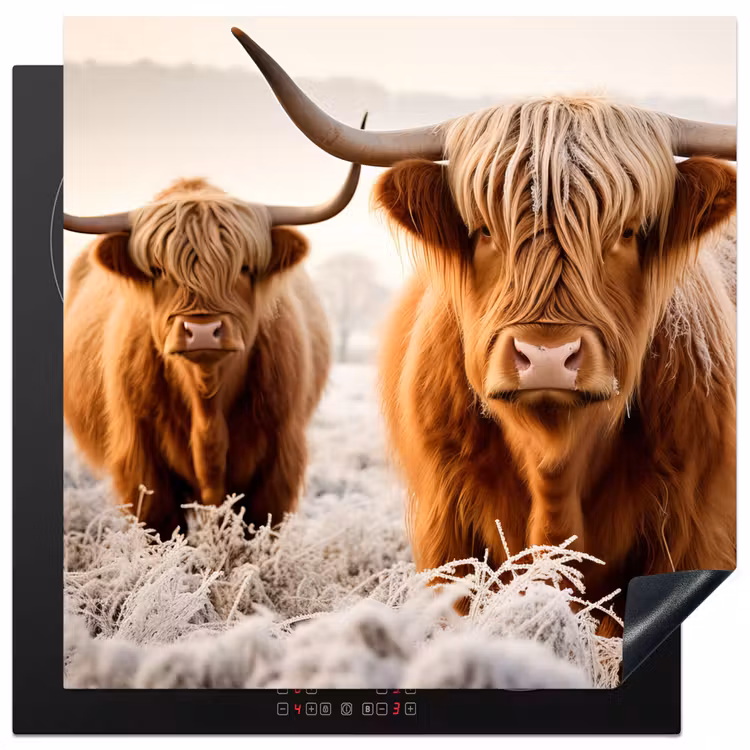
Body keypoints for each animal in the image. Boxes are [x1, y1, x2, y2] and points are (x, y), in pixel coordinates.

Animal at [63, 137, 365, 539]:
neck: (207, 403)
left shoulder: (278, 461)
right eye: (158, 270)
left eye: (245, 268)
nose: (203, 331)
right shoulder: (142, 464)